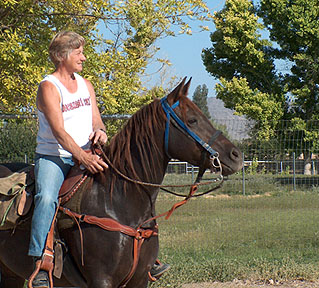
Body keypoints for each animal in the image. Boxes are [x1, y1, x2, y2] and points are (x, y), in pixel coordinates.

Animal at [0, 77, 242, 286]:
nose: (236, 156)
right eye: (192, 120)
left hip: (11, 272)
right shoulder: (102, 280)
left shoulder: (140, 279)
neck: (116, 199)